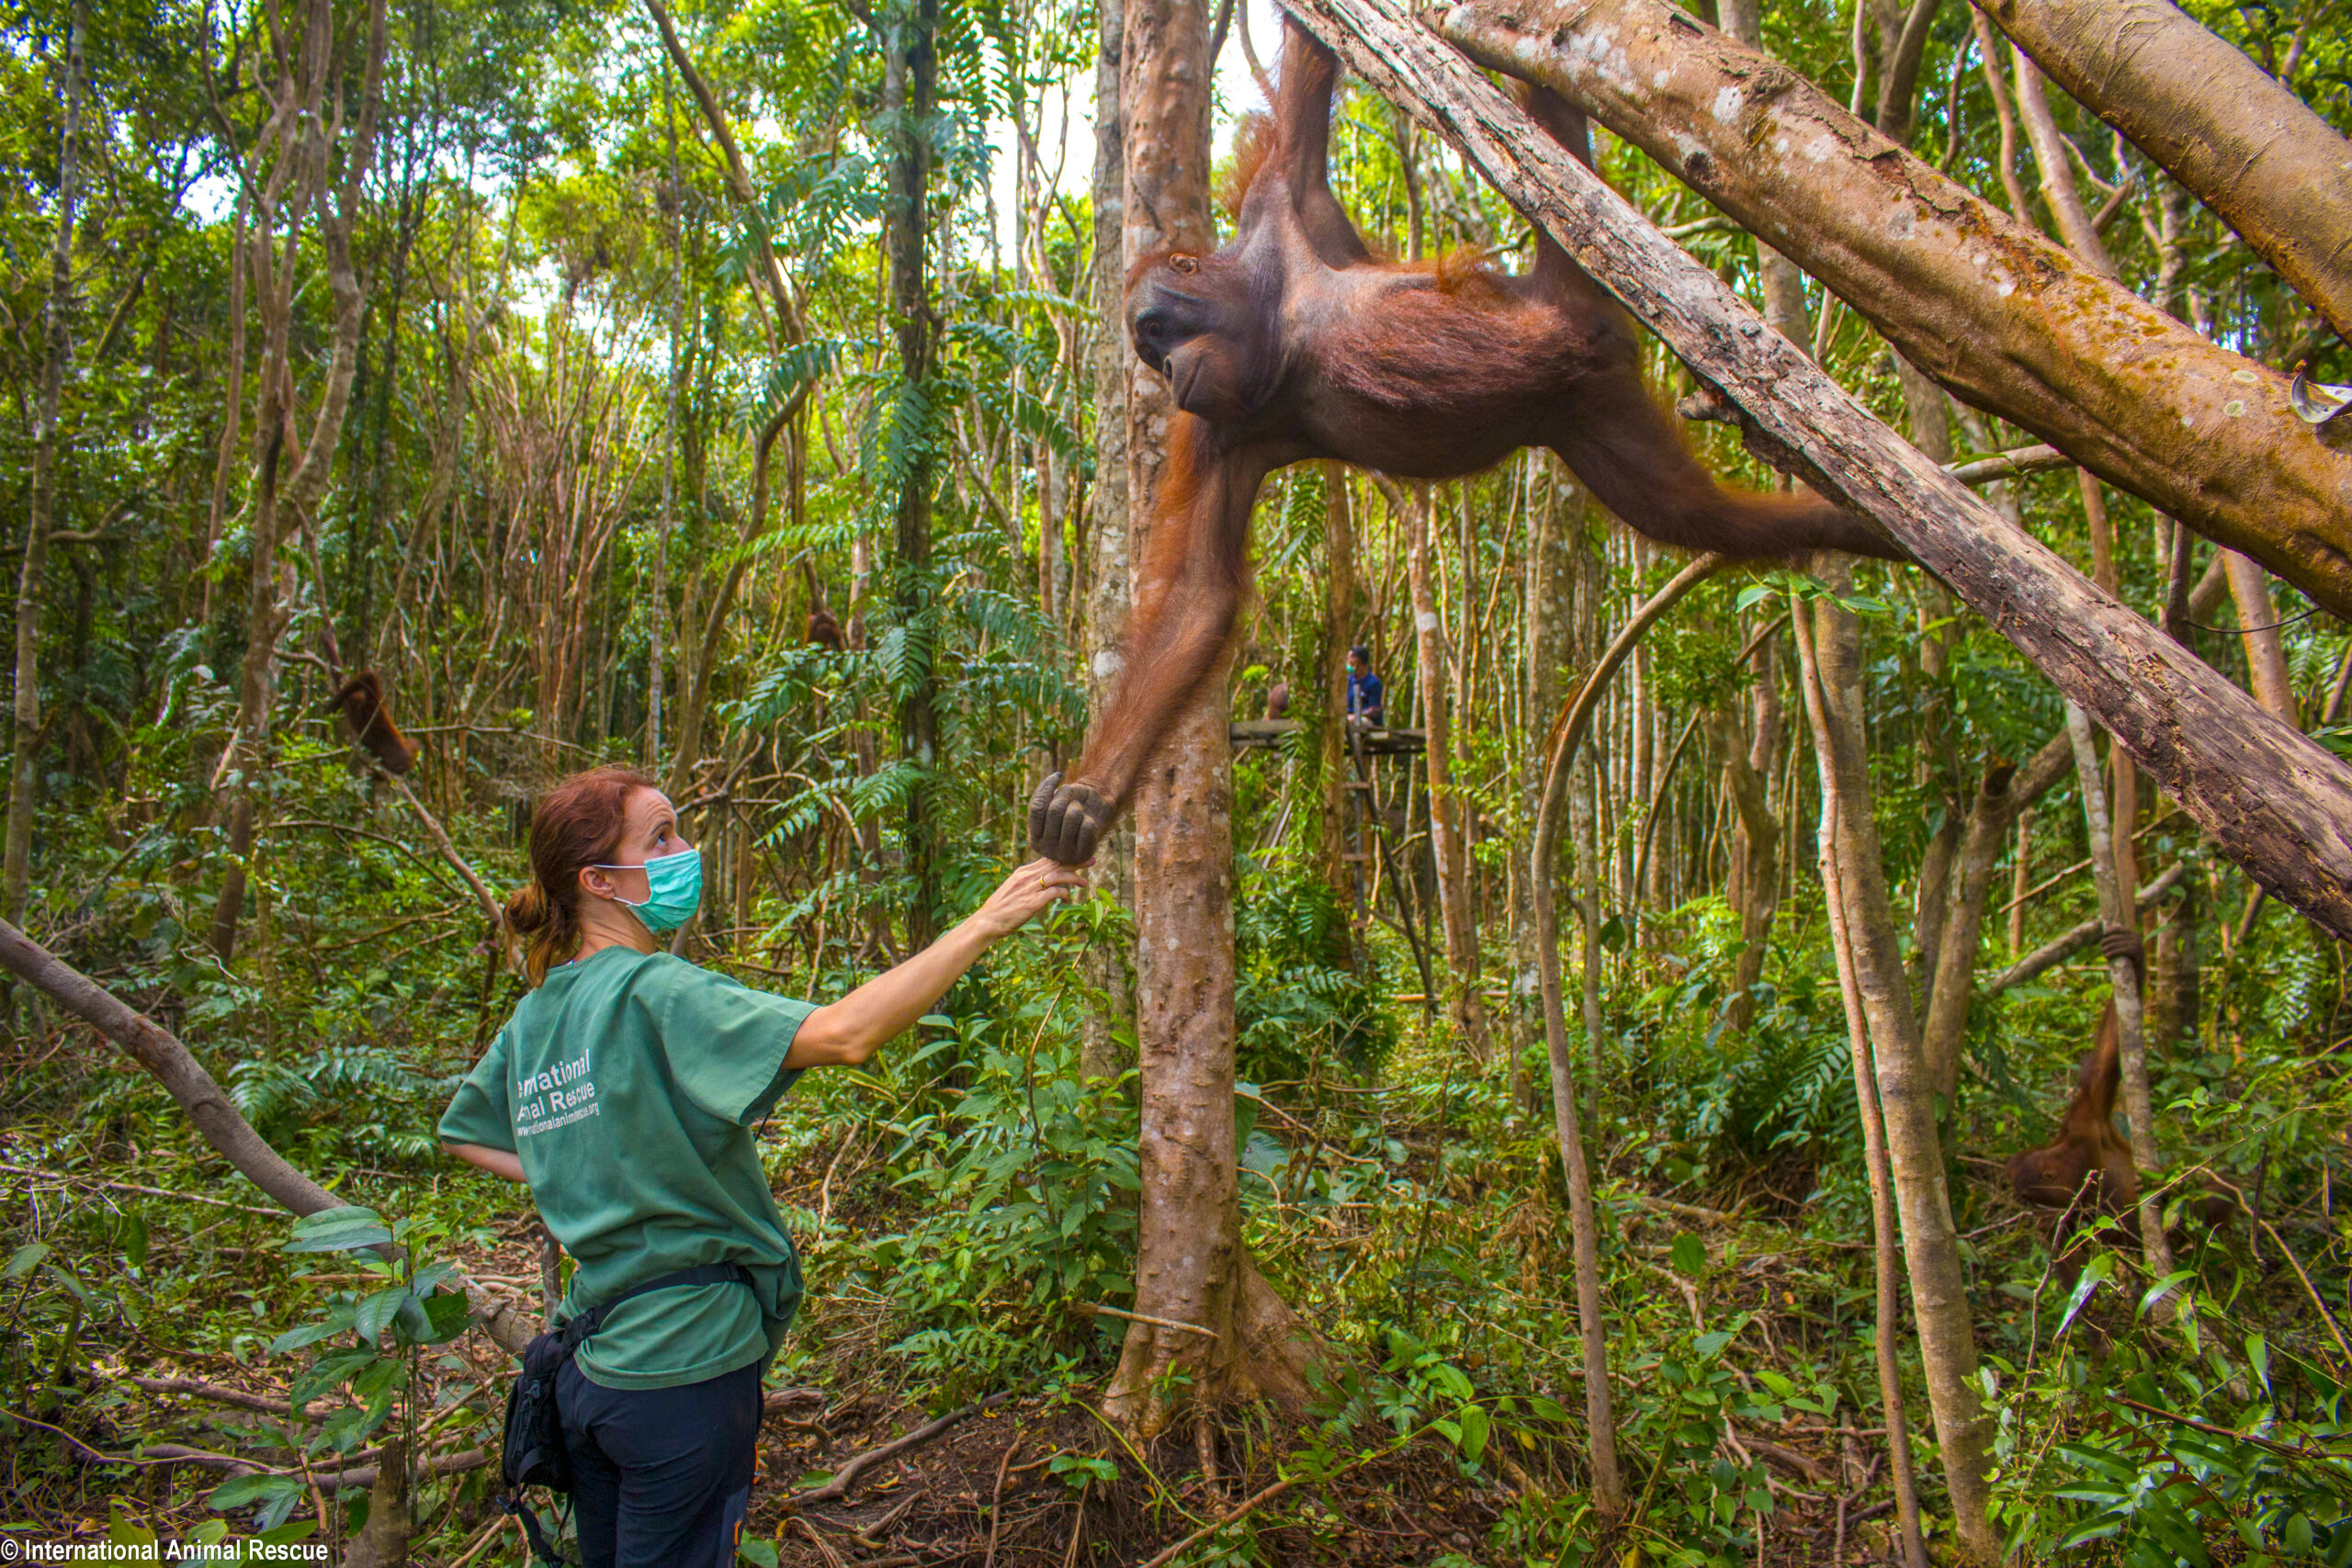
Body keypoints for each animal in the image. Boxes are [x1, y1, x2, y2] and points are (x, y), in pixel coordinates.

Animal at [1024, 19, 1899, 864]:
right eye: (1149, 351)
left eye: (1156, 329)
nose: (1169, 372)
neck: (1277, 324)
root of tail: (1587, 331)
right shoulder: (1220, 429)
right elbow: (1199, 597)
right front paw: (1089, 799)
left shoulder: (1281, 202)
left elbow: (1307, 80)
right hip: (1595, 419)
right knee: (1694, 515)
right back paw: (1859, 525)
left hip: (1573, 313)